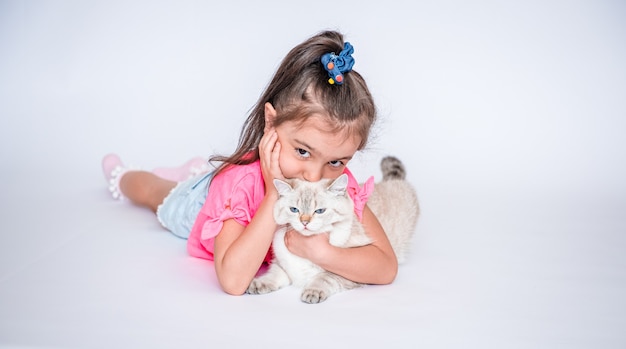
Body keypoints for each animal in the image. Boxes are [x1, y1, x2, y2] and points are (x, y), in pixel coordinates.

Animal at [246, 155, 416, 302]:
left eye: (320, 211)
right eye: (294, 210)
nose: (304, 222)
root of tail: (393, 181)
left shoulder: (350, 272)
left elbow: (324, 278)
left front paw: (312, 292)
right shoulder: (282, 264)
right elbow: (273, 275)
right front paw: (257, 284)